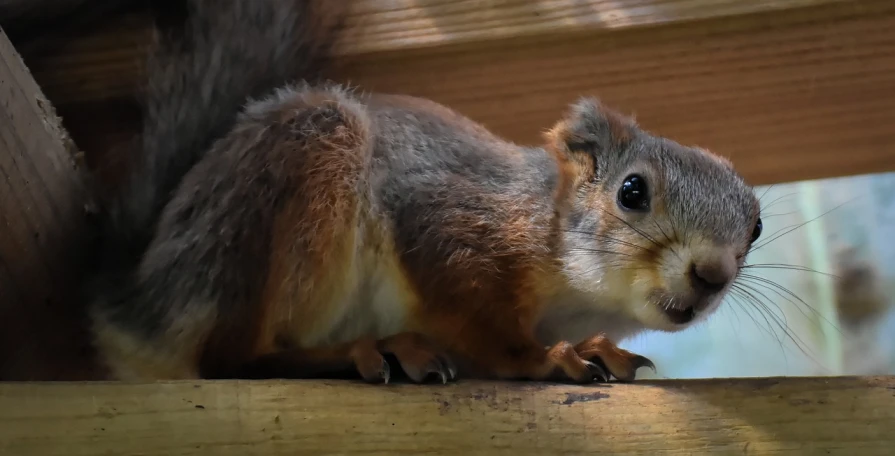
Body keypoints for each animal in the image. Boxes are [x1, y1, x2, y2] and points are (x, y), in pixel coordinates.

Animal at [89, 0, 764, 384]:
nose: (712, 274)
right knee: (229, 361)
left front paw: (594, 347)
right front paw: (544, 358)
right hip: (293, 182)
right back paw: (358, 353)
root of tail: (136, 305)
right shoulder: (451, 224)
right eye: (632, 191)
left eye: (755, 228)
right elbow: (475, 318)